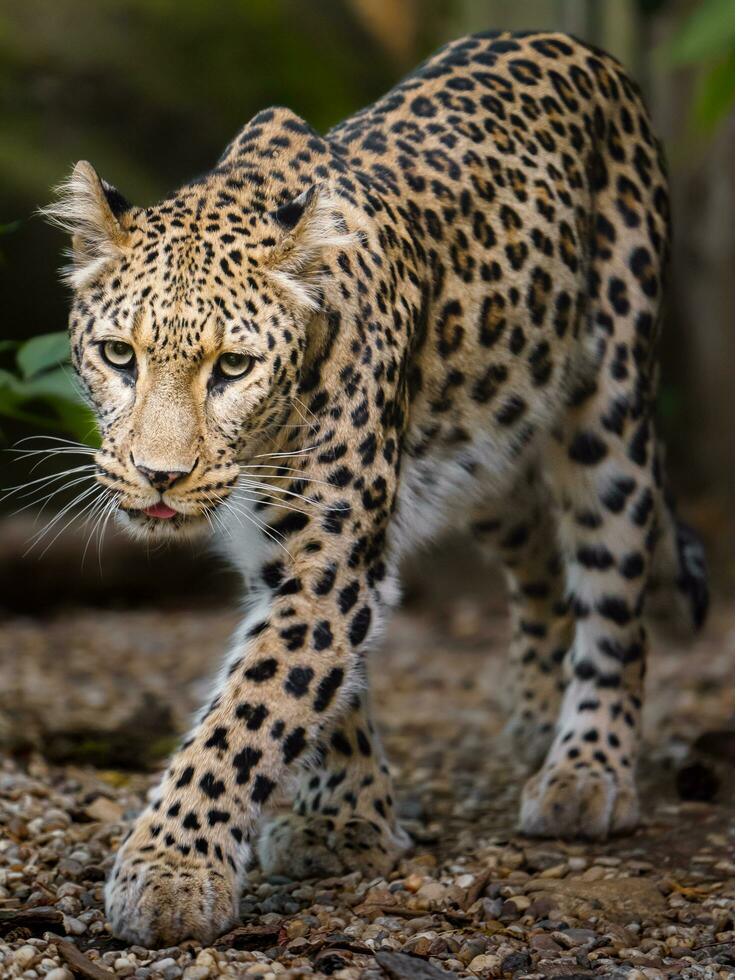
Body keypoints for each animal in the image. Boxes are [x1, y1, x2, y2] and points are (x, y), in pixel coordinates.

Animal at [43, 32, 712, 948]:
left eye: (233, 368)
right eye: (118, 355)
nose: (160, 476)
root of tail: (576, 45)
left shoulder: (327, 565)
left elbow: (246, 713)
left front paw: (171, 868)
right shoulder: (288, 557)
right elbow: (318, 690)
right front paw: (346, 818)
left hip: (607, 409)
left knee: (613, 589)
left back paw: (585, 768)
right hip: (486, 449)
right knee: (539, 551)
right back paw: (536, 709)